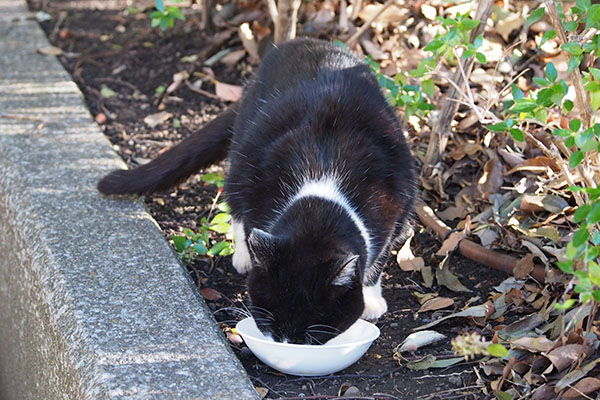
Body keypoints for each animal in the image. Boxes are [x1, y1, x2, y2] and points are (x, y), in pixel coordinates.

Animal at [99, 37, 418, 344]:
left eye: (313, 330)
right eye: (270, 314)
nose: (286, 341)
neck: (324, 177)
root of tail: (305, 41)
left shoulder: (396, 204)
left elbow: (379, 256)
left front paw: (371, 300)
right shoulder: (258, 180)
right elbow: (249, 221)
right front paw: (249, 256)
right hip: (245, 151)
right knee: (236, 203)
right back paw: (242, 255)